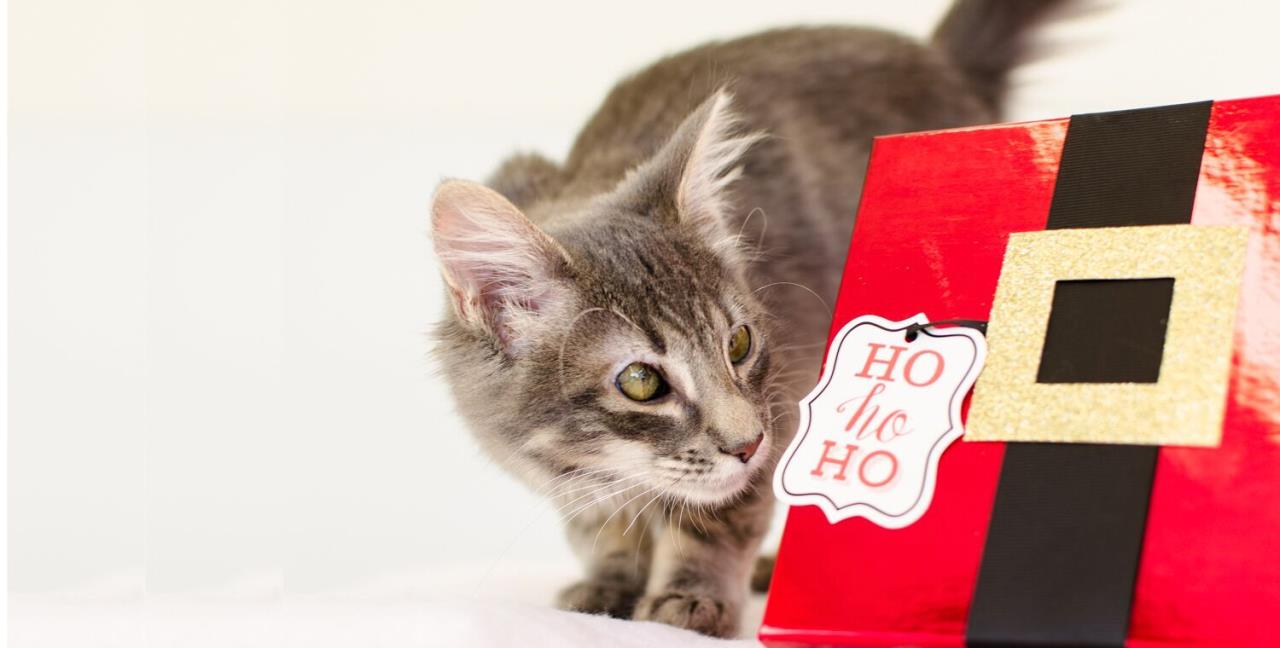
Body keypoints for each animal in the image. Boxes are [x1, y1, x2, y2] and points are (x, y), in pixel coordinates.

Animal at [430, 0, 1070, 637]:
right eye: (640, 381)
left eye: (736, 343)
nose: (747, 443)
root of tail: (941, 60)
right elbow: (604, 526)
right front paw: (610, 584)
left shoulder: (780, 406)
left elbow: (714, 518)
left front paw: (690, 598)